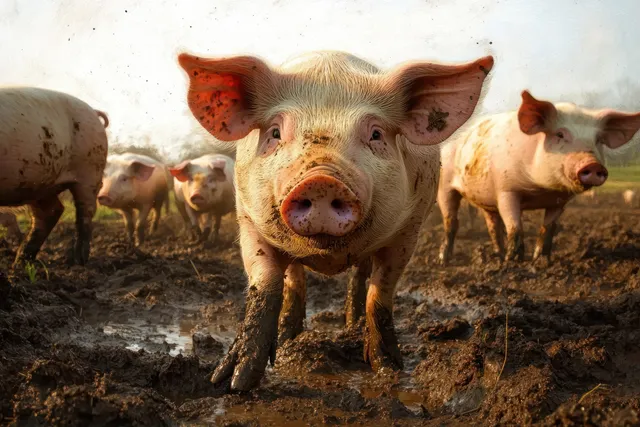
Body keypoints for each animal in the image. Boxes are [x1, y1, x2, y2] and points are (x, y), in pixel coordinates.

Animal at [0, 87, 108, 268]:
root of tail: (93, 111)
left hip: (90, 169)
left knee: (85, 211)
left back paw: (79, 262)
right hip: (39, 184)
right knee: (50, 212)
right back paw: (20, 263)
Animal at [177, 49, 493, 391]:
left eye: (375, 134)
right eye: (275, 133)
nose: (321, 180)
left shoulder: (409, 229)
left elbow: (380, 292)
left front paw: (389, 369)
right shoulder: (247, 219)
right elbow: (265, 283)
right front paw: (233, 382)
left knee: (358, 278)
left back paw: (351, 324)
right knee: (295, 279)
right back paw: (289, 336)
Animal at [437, 90, 640, 266]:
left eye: (598, 140)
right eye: (560, 134)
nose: (592, 164)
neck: (540, 190)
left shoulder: (558, 201)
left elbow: (548, 228)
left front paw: (541, 261)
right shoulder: (506, 191)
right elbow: (515, 226)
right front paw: (514, 262)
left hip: (486, 199)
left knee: (492, 225)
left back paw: (498, 257)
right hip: (444, 186)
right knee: (451, 222)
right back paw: (444, 260)